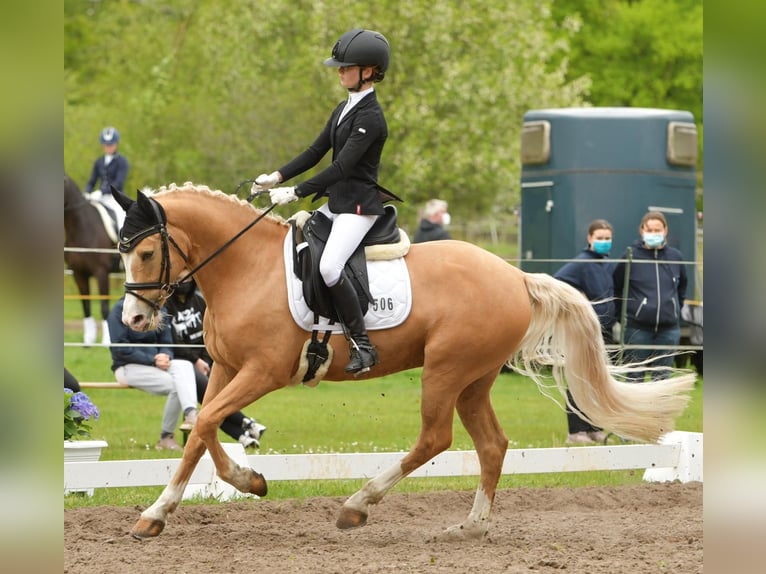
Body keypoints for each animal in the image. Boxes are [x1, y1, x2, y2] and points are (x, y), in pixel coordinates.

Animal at [64, 176, 118, 346]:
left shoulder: (101, 272)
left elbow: (104, 306)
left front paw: (107, 341)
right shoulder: (78, 273)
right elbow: (85, 305)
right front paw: (88, 340)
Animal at [112, 186, 696, 544]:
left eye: (146, 253)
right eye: (121, 251)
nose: (135, 318)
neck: (245, 267)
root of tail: (514, 276)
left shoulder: (263, 373)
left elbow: (207, 423)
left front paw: (240, 483)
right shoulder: (227, 370)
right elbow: (201, 431)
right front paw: (164, 512)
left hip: (445, 370)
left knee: (436, 438)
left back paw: (357, 505)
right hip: (474, 380)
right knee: (491, 445)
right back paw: (470, 528)